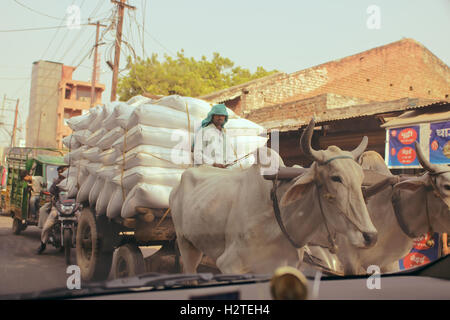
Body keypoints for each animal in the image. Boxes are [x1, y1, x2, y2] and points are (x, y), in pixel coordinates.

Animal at [168, 119, 376, 274]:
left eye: (361, 178)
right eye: (336, 178)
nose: (371, 237)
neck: (280, 221)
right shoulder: (229, 265)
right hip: (186, 244)